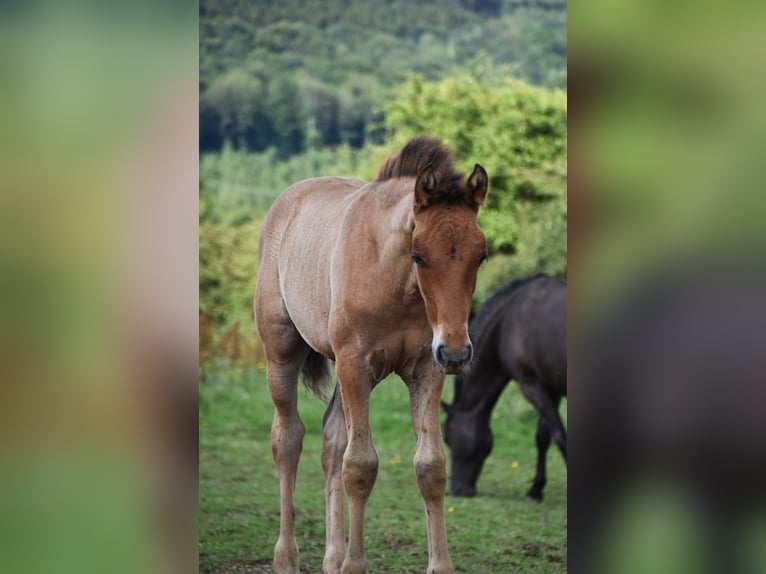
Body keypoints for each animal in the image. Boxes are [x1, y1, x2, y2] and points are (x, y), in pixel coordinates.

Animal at [440, 272, 568, 502]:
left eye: (448, 437)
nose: (459, 490)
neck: (508, 321)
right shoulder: (549, 389)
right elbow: (543, 437)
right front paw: (536, 489)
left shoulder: (531, 385)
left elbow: (559, 436)